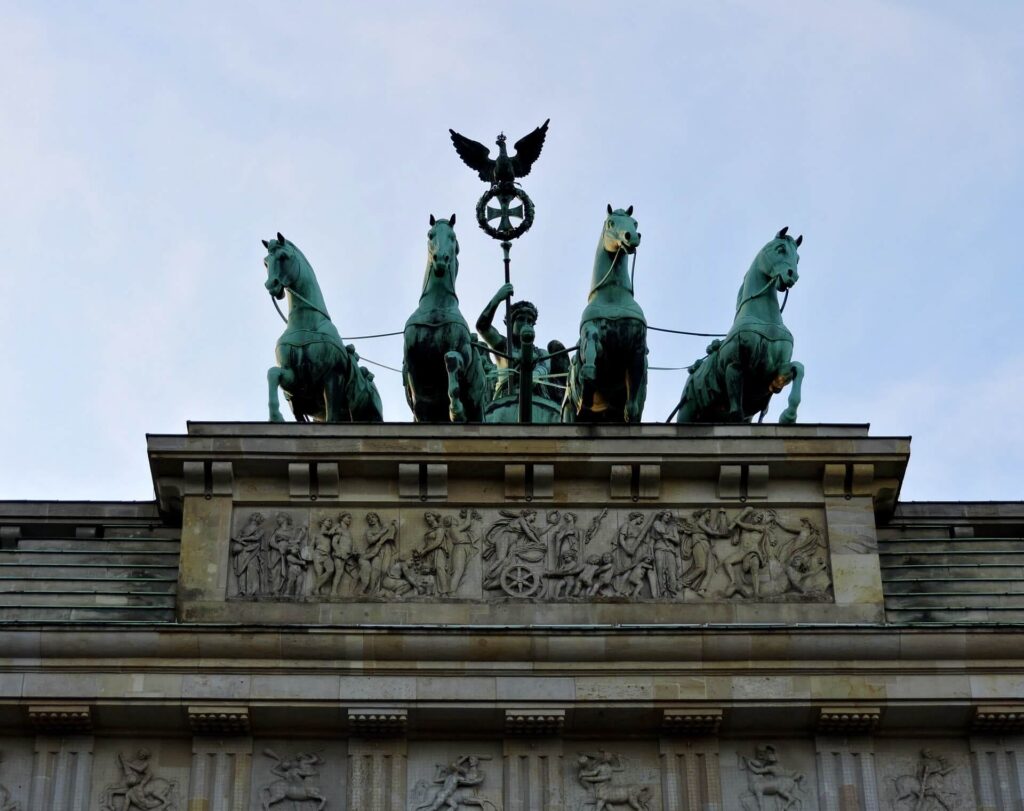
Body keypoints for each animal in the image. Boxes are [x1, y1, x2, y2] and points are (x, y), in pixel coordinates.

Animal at [264, 232, 385, 423]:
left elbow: (332, 417)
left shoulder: (332, 378)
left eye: (283, 257)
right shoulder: (295, 381)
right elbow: (273, 373)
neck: (306, 323)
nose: (271, 285)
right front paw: (276, 416)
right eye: (265, 261)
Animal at [403, 215, 491, 421]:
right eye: (430, 234)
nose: (440, 259)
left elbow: (451, 359)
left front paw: (456, 410)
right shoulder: (413, 367)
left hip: (477, 407)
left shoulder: (463, 352)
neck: (436, 308)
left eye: (452, 236)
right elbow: (420, 403)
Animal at [561, 204, 647, 423]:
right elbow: (591, 341)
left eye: (635, 223)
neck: (612, 297)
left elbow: (631, 407)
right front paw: (589, 371)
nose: (631, 237)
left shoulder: (637, 349)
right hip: (569, 412)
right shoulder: (590, 334)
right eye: (611, 222)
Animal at [675, 225, 802, 421]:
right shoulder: (734, 366)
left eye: (798, 258)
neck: (764, 319)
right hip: (687, 411)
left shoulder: (774, 374)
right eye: (780, 249)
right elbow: (736, 413)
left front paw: (789, 415)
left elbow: (799, 368)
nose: (792, 276)